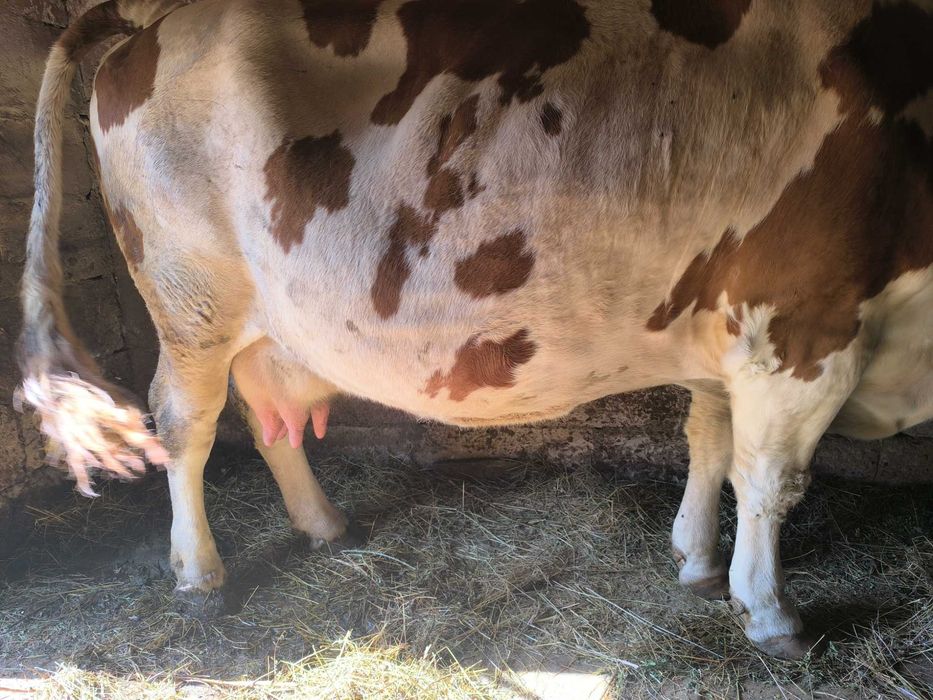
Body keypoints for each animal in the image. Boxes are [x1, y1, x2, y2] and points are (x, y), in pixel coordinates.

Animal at [17, 0, 932, 659]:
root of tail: (155, 25)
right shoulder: (804, 325)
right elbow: (771, 479)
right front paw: (770, 612)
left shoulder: (725, 332)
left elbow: (708, 442)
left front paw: (699, 561)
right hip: (189, 298)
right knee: (186, 422)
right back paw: (200, 575)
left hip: (264, 321)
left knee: (264, 411)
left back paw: (322, 524)